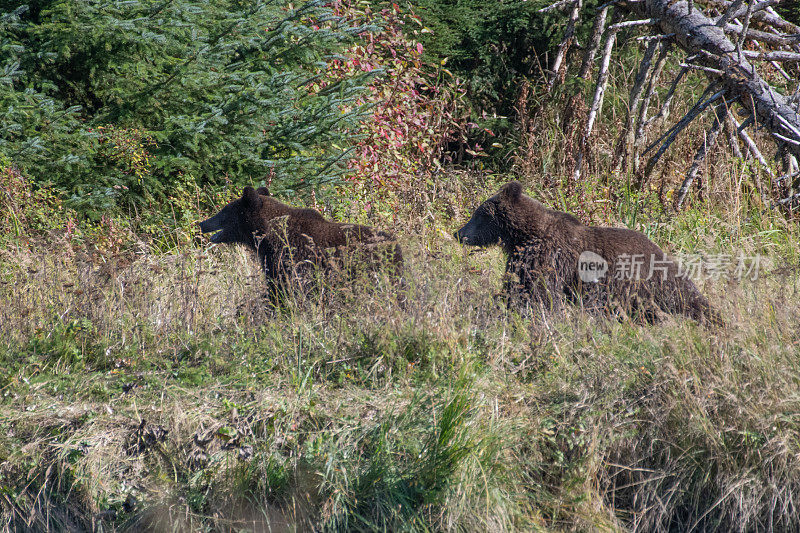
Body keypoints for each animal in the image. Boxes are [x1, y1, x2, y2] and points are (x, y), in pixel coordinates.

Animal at [198, 186, 404, 296]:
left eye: (224, 211)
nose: (202, 223)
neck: (267, 237)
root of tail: (396, 246)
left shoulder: (291, 259)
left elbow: (287, 289)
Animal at [454, 182, 720, 324]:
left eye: (478, 214)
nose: (459, 233)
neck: (522, 234)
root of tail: (661, 252)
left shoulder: (544, 258)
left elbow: (536, 292)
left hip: (639, 283)